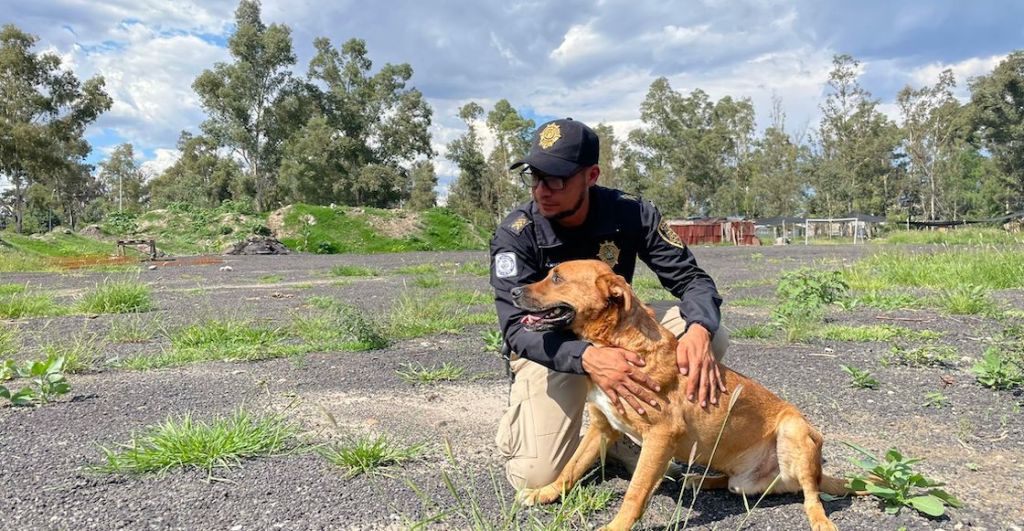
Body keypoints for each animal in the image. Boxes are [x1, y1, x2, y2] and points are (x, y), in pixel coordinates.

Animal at [512, 260, 856, 531]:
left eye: (557, 278)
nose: (513, 292)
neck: (618, 344)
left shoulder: (660, 436)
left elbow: (635, 491)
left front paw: (615, 526)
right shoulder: (601, 428)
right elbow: (570, 469)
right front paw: (544, 493)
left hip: (794, 430)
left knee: (811, 496)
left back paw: (820, 520)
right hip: (743, 481)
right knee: (734, 484)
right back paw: (701, 480)